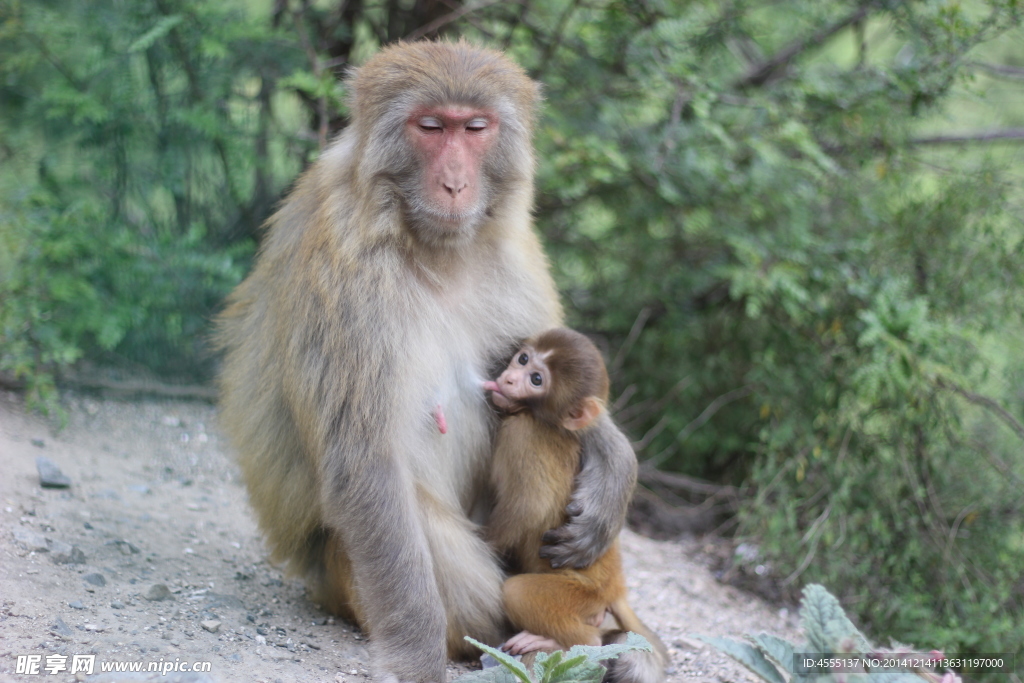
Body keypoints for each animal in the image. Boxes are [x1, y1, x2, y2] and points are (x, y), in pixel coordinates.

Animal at [216, 42, 634, 683]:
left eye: (476, 128)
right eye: (432, 128)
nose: (456, 183)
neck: (435, 250)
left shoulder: (513, 258)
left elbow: (574, 394)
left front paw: (614, 472)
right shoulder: (346, 277)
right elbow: (364, 465)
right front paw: (416, 654)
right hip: (349, 581)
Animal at [483, 327, 667, 679]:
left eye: (536, 379)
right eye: (523, 359)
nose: (510, 378)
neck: (535, 416)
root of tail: (615, 583)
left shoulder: (522, 435)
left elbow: (528, 509)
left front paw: (485, 543)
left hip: (581, 592)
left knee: (520, 593)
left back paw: (567, 641)